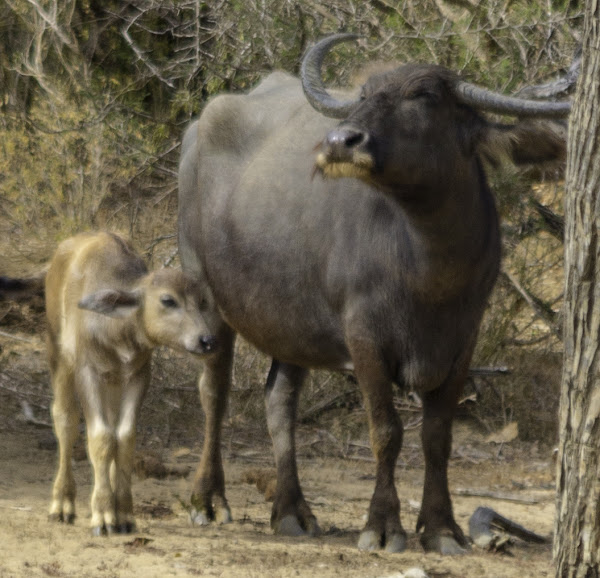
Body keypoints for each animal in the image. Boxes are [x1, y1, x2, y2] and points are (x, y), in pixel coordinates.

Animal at [44, 230, 218, 532]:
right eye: (168, 300)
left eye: (201, 302)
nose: (206, 340)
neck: (117, 331)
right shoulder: (87, 372)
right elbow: (100, 437)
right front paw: (103, 514)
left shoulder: (138, 376)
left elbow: (124, 439)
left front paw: (123, 514)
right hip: (60, 357)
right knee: (65, 421)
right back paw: (62, 505)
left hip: (114, 383)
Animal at [177, 32, 568, 552]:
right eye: (364, 95)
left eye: (425, 96)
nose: (340, 141)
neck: (427, 266)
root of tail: (197, 129)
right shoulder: (364, 336)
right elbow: (386, 430)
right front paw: (382, 526)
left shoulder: (464, 340)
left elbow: (437, 436)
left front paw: (442, 528)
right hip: (204, 291)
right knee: (214, 392)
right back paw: (208, 500)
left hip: (291, 324)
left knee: (280, 401)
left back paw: (292, 511)